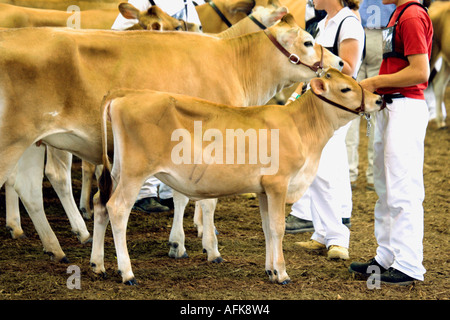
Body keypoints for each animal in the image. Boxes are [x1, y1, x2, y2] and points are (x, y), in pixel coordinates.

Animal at [0, 12, 342, 262]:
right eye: (308, 41)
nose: (340, 63)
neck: (235, 64)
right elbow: (203, 199)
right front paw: (208, 247)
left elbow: (184, 194)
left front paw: (182, 241)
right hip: (12, 140)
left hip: (34, 142)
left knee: (31, 186)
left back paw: (57, 246)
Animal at [96, 68, 384, 284]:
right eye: (345, 89)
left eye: (356, 82)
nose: (379, 100)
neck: (300, 127)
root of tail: (123, 96)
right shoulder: (278, 184)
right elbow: (278, 228)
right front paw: (283, 273)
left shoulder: (263, 189)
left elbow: (267, 228)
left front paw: (271, 271)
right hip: (135, 172)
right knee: (117, 208)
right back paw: (127, 273)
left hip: (117, 170)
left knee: (100, 204)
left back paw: (98, 265)